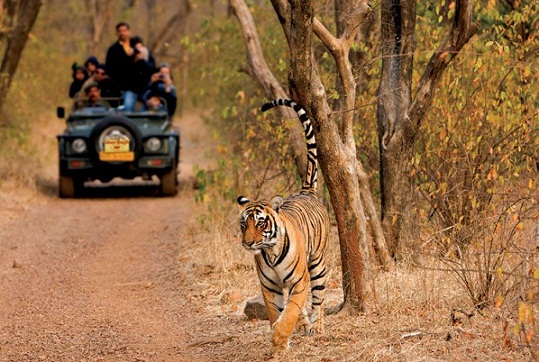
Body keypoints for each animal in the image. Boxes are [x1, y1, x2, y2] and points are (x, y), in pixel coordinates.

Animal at [238, 99, 332, 354]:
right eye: (244, 224)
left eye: (261, 223)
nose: (248, 243)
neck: (270, 252)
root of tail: (306, 192)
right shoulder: (269, 288)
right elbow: (276, 313)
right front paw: (279, 343)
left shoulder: (300, 281)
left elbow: (289, 311)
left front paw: (280, 338)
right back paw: (304, 324)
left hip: (317, 263)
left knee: (318, 298)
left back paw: (317, 326)